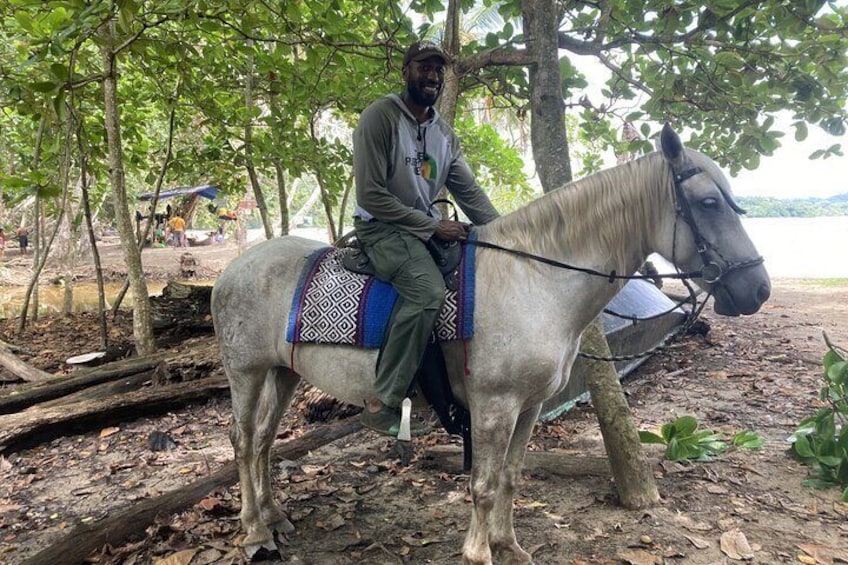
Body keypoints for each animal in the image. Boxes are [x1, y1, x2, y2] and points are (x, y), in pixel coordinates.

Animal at [210, 125, 768, 560]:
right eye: (709, 203)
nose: (758, 289)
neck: (535, 279)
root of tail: (233, 270)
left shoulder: (530, 406)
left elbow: (510, 479)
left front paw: (508, 546)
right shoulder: (493, 407)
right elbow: (482, 485)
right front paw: (480, 552)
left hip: (283, 372)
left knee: (264, 441)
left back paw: (274, 517)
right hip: (246, 373)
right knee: (243, 441)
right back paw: (255, 533)